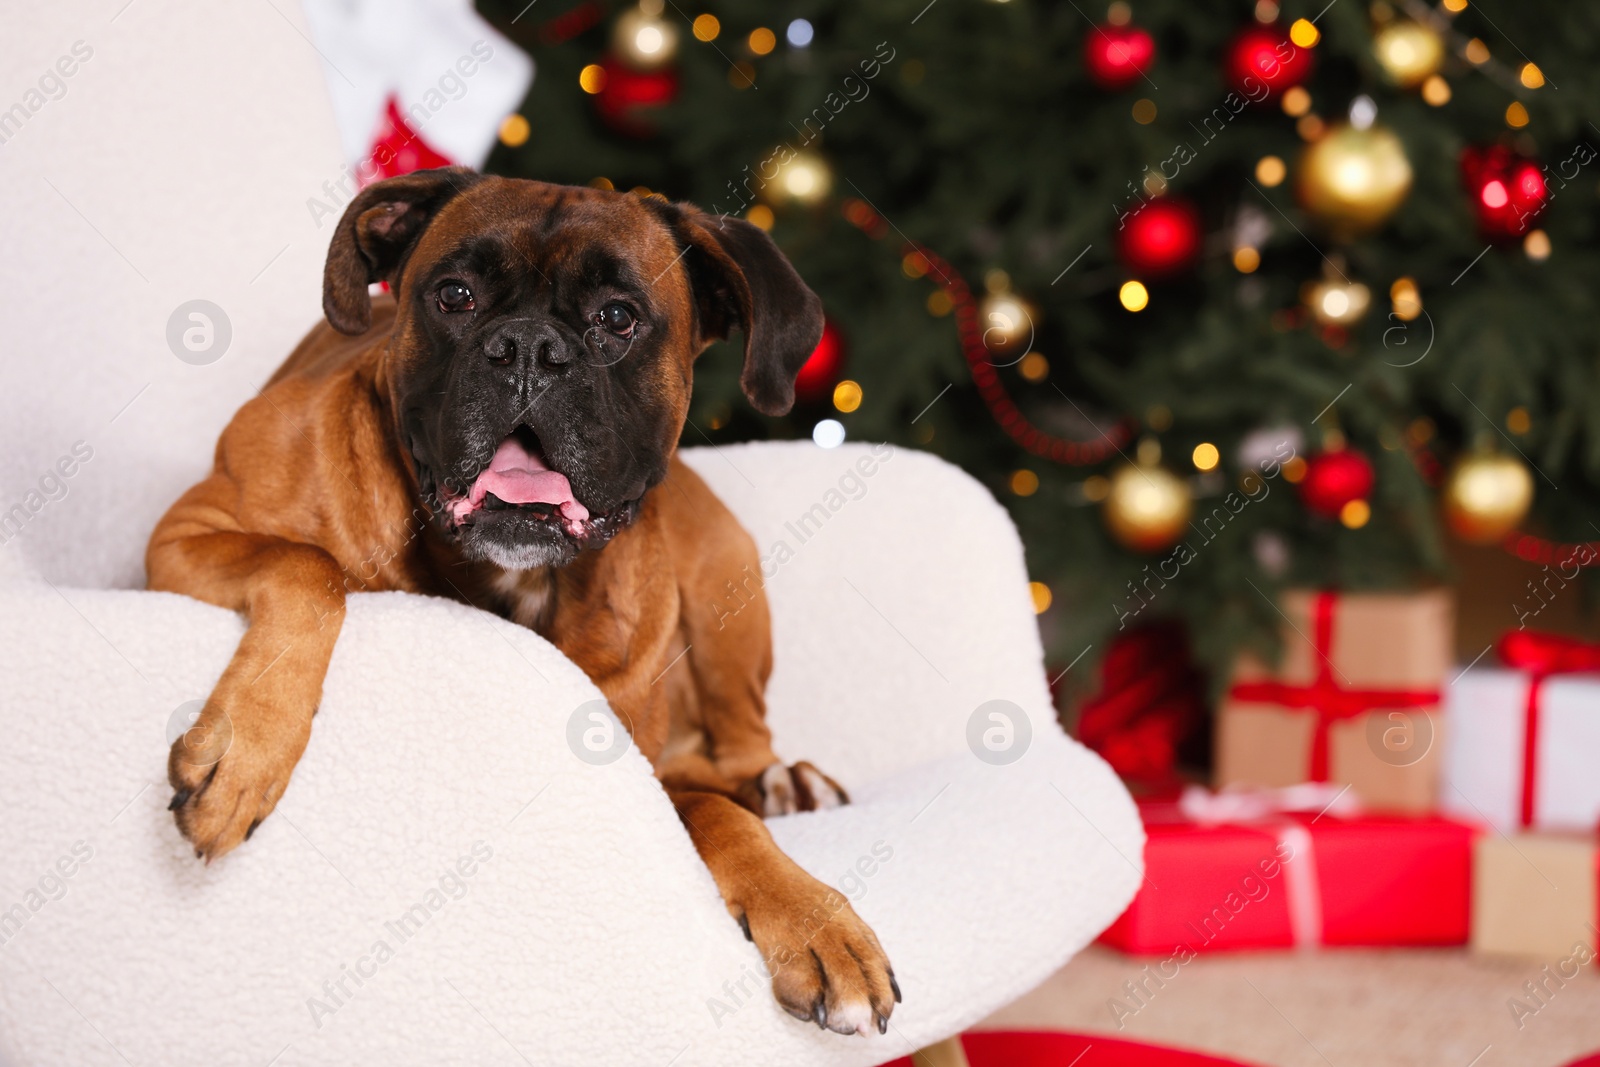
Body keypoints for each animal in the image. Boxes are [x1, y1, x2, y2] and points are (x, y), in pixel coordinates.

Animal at [147, 167, 902, 1036]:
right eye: (455, 296)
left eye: (618, 317)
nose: (530, 350)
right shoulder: (178, 537)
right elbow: (309, 565)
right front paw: (242, 753)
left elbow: (718, 815)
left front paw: (815, 918)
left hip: (727, 588)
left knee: (743, 745)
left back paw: (785, 783)